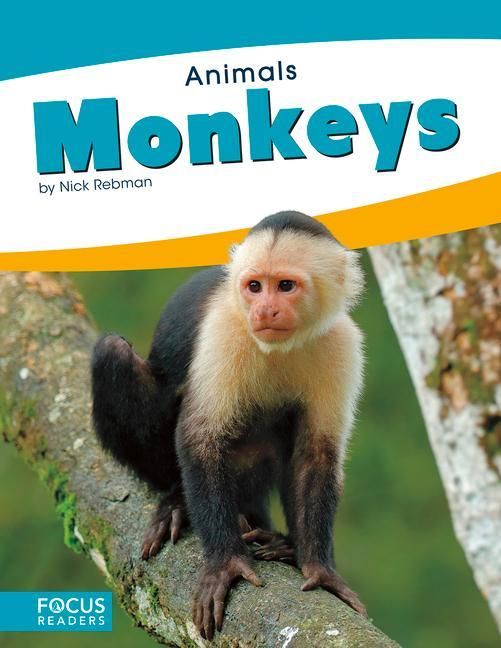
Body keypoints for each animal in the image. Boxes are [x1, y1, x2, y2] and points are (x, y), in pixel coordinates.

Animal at [91, 211, 366, 640]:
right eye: (254, 287)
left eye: (285, 286)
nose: (264, 311)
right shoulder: (225, 330)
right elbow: (200, 437)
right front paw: (225, 563)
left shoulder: (341, 343)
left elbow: (316, 454)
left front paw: (319, 568)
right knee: (113, 353)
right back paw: (177, 500)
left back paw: (282, 542)